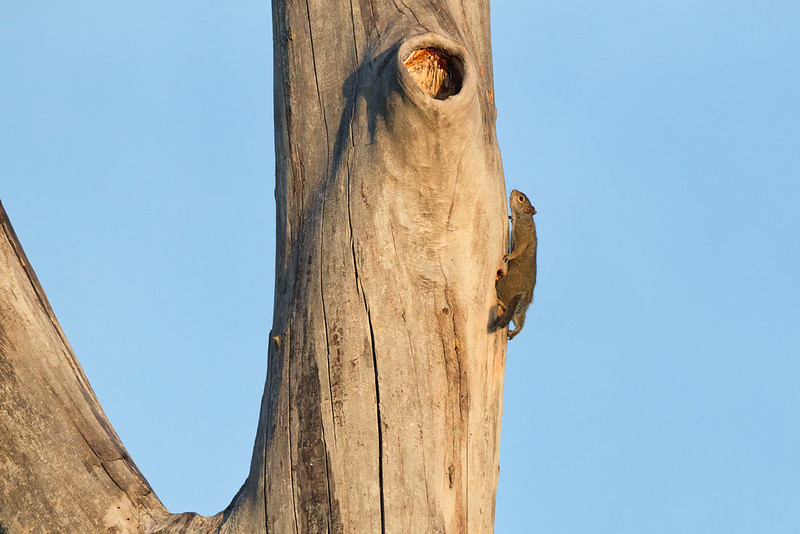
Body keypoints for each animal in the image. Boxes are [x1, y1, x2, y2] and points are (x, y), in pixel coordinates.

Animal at [490, 189, 537, 340]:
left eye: (521, 198)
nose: (514, 190)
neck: (524, 218)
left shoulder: (523, 234)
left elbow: (519, 248)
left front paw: (509, 256)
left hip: (507, 285)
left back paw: (501, 303)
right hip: (520, 311)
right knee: (519, 321)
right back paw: (514, 332)